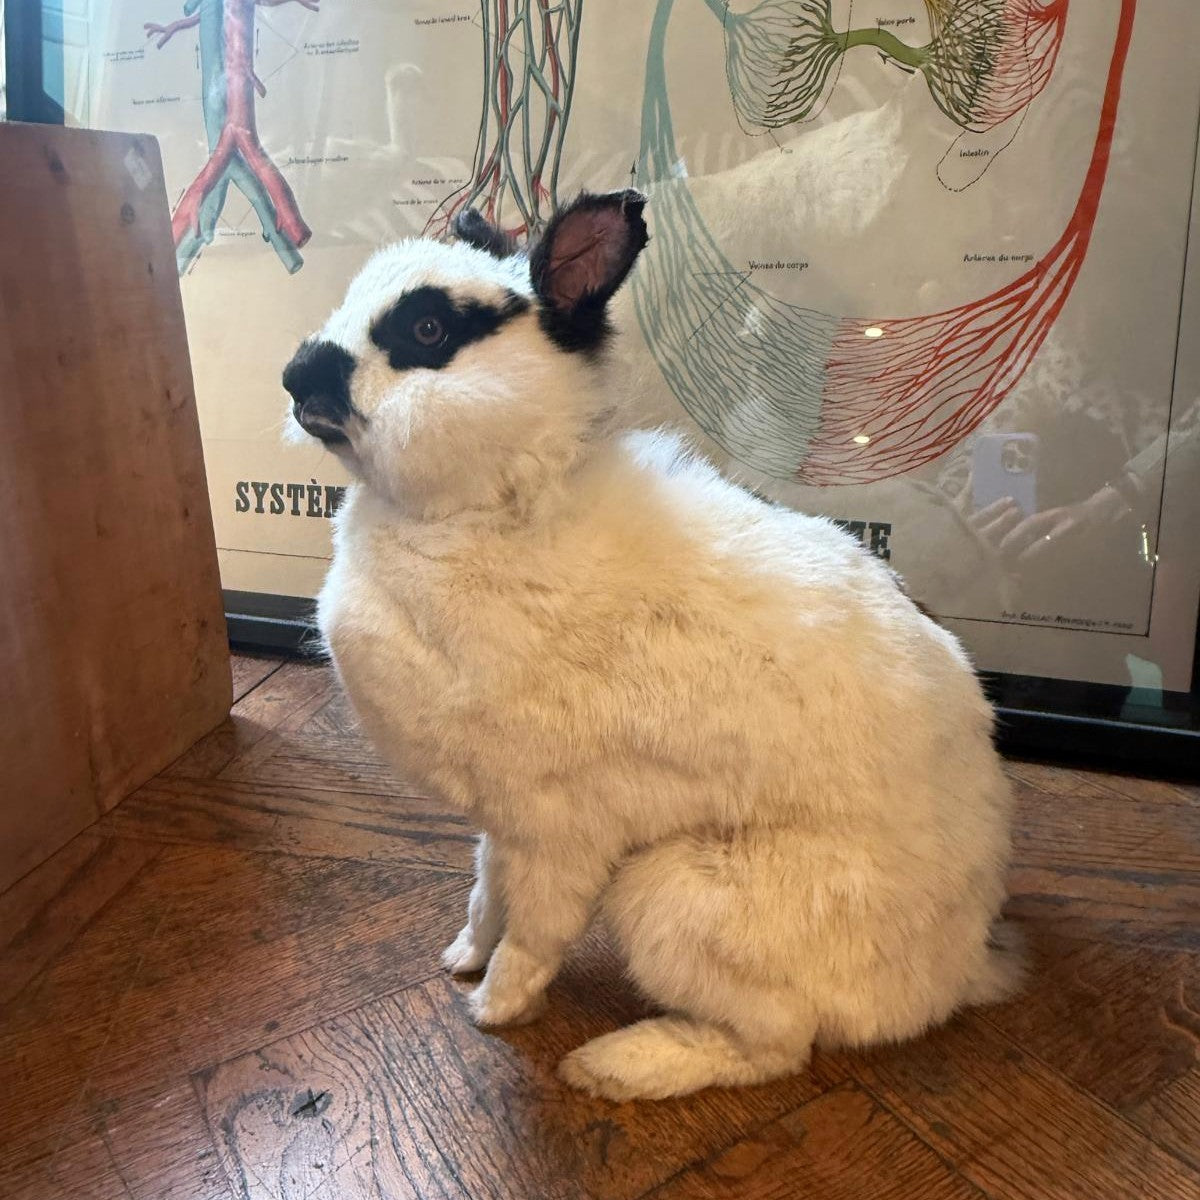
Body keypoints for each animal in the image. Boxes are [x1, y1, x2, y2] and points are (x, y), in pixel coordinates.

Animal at [282, 189, 1022, 1101]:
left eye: (427, 330)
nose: (295, 377)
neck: (489, 509)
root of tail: (952, 974)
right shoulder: (501, 823)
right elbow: (486, 894)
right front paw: (459, 959)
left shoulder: (559, 828)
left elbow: (536, 932)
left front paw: (492, 1010)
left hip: (674, 899)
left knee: (775, 1045)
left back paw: (612, 1065)